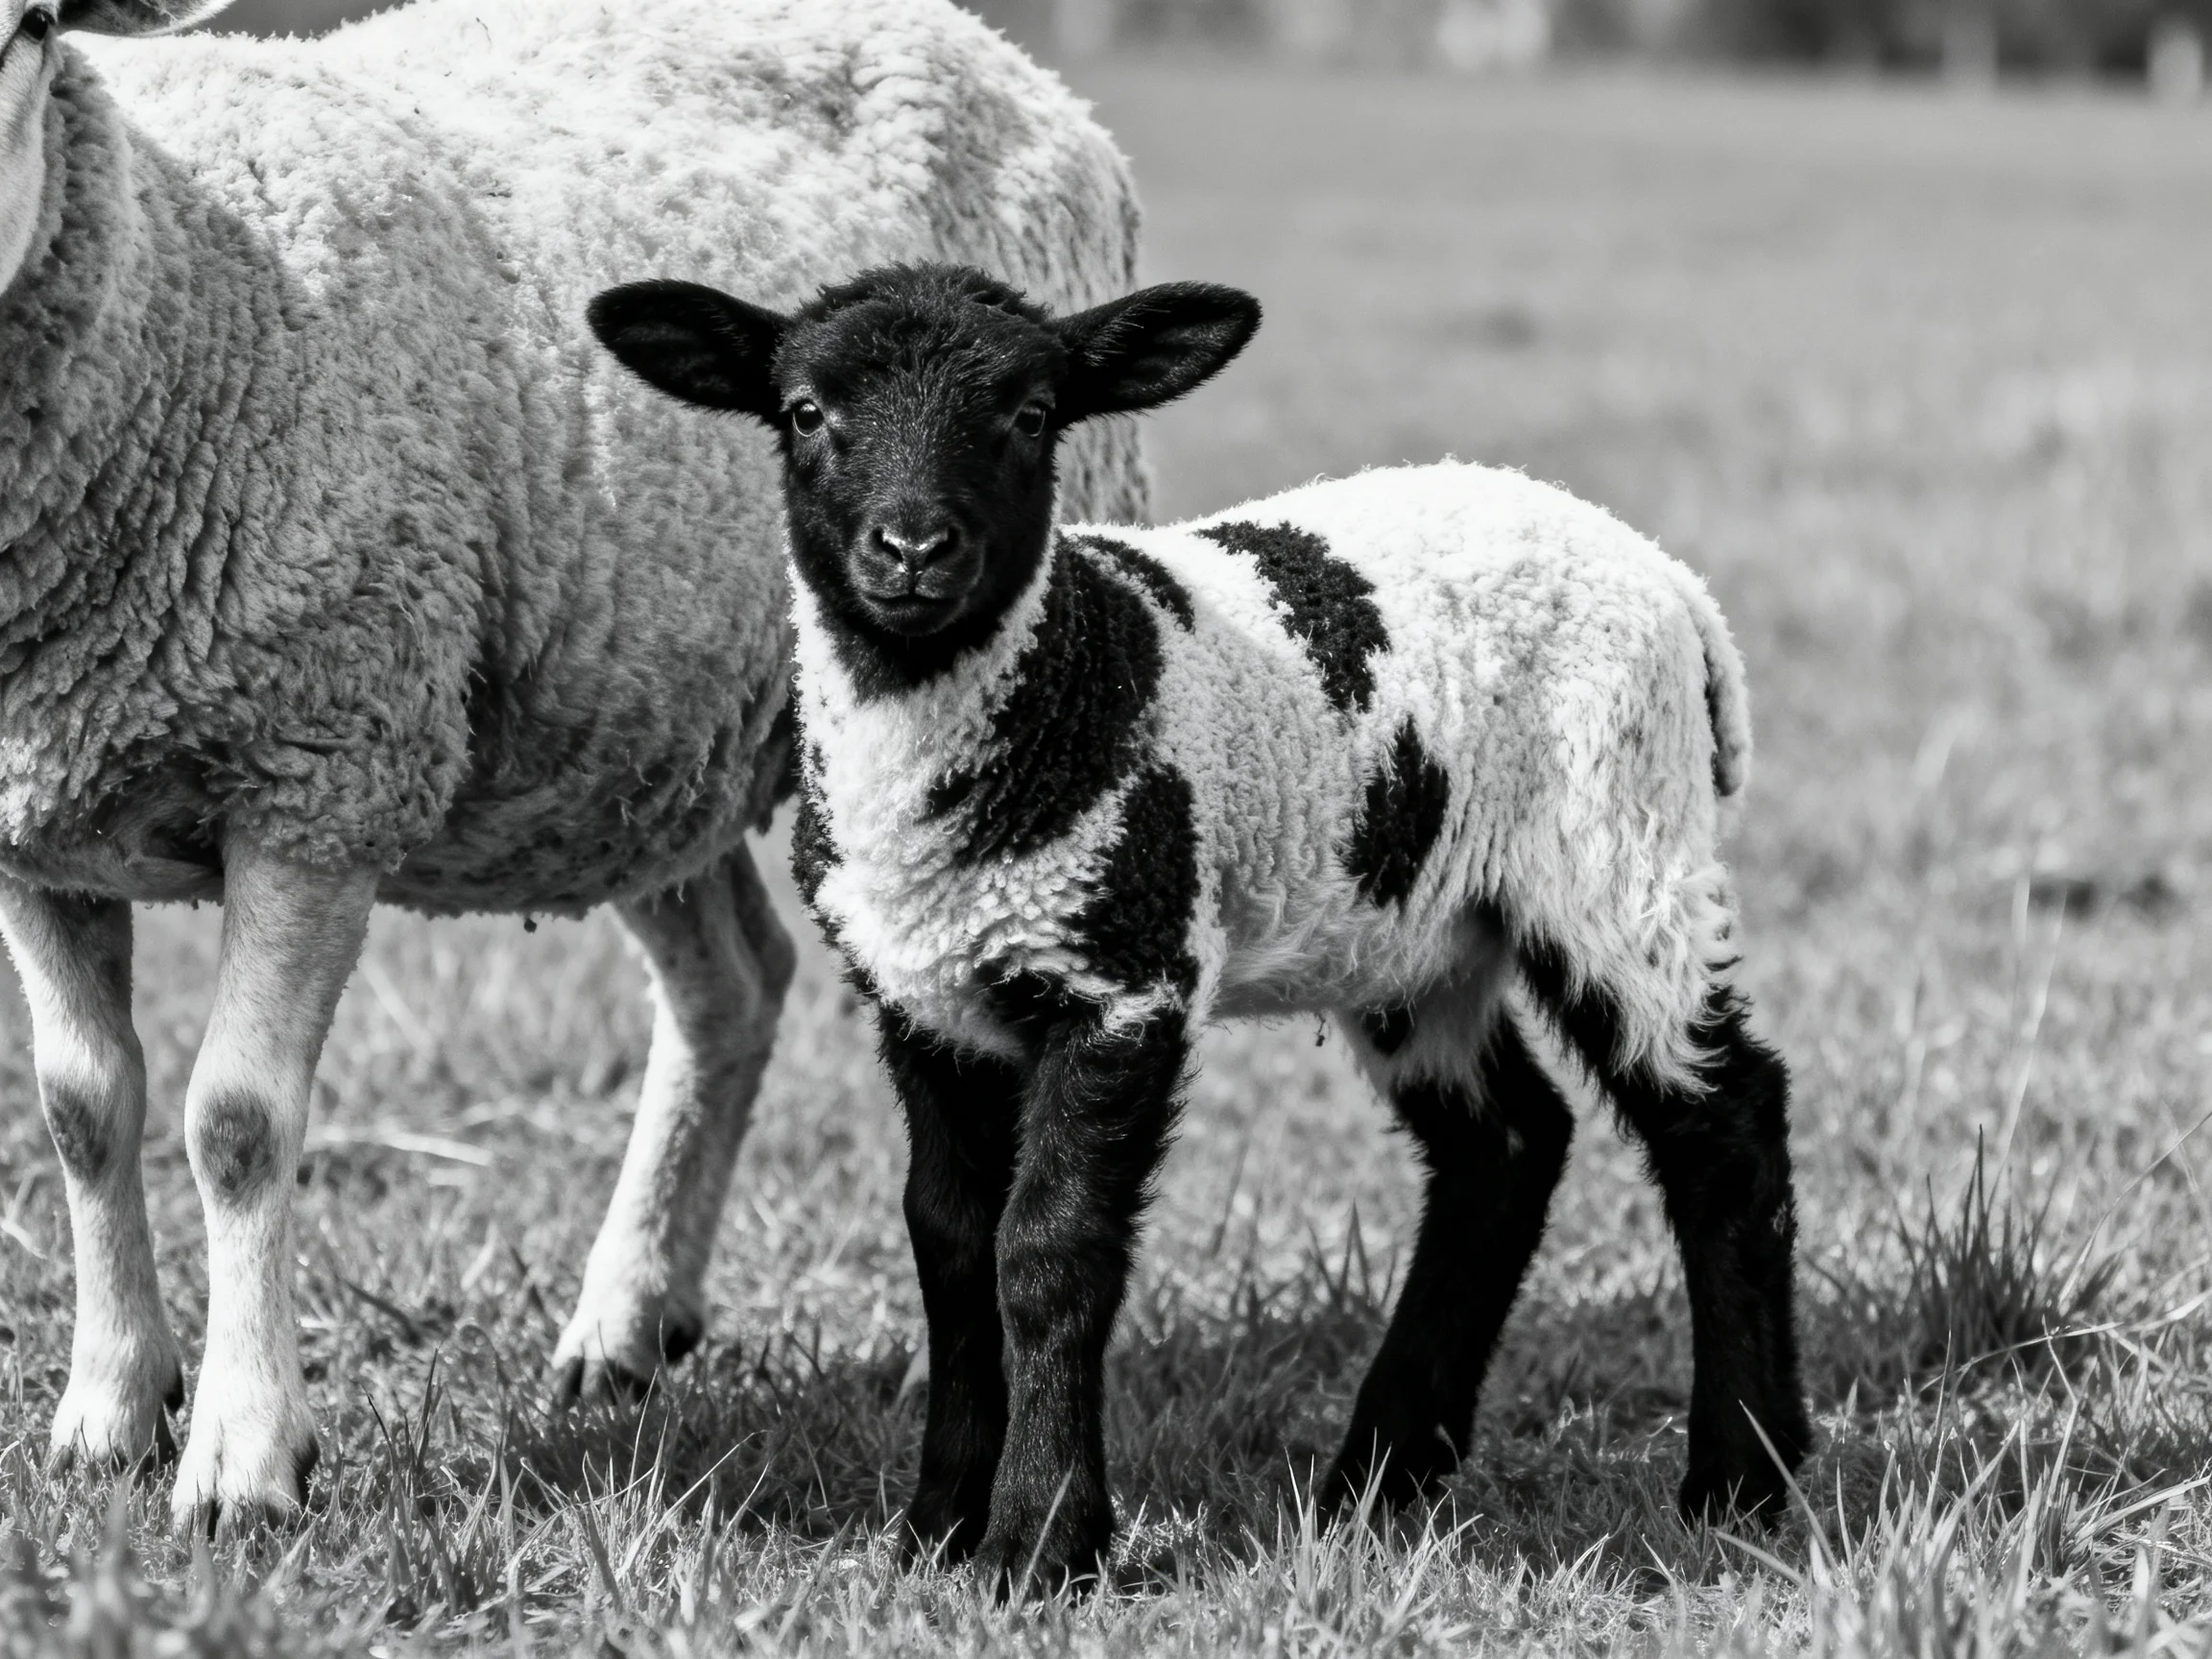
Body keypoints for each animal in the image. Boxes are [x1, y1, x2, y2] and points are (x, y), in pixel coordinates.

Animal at [0, 0, 1150, 1534]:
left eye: (27, 32)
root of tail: (1006, 58)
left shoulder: (326, 769)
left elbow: (236, 1122)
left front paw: (243, 1461)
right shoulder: (37, 821)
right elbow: (81, 1112)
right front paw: (108, 1416)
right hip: (640, 737)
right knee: (733, 984)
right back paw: (628, 1323)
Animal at [591, 261, 1814, 1592]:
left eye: (1032, 414)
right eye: (806, 412)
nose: (912, 549)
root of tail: (1670, 582)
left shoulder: (1124, 974)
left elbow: (1049, 1254)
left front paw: (1043, 1538)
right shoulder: (925, 1000)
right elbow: (950, 1248)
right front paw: (934, 1528)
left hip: (1615, 850)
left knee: (1724, 1125)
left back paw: (1742, 1476)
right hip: (1416, 932)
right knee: (1506, 1146)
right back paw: (1384, 1474)